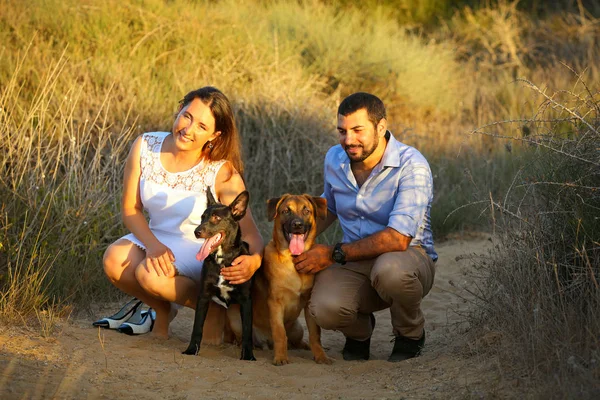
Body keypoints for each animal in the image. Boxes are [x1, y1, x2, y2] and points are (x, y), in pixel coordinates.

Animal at [184, 189, 256, 360]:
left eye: (216, 218)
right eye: (202, 217)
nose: (197, 232)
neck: (222, 260)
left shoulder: (246, 300)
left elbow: (247, 331)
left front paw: (248, 356)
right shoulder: (203, 296)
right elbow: (197, 327)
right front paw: (191, 350)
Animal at [231, 194, 332, 366]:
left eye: (306, 211)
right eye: (286, 211)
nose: (297, 225)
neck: (293, 260)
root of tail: (266, 342)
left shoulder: (308, 304)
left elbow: (315, 334)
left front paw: (321, 356)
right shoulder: (275, 302)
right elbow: (279, 332)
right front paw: (280, 357)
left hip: (297, 328)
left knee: (296, 340)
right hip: (235, 318)